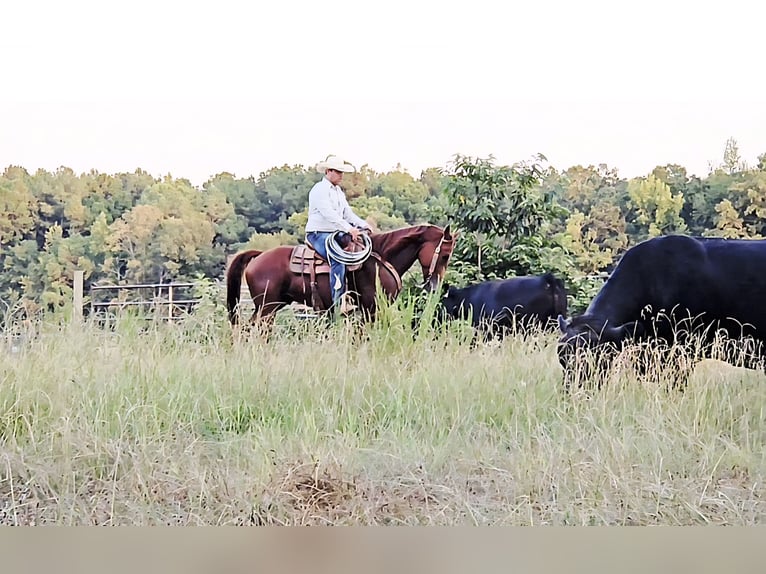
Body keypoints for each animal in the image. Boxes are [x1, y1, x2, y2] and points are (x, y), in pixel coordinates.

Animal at [226, 224, 456, 327]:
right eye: (445, 254)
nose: (435, 286)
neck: (381, 257)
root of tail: (259, 255)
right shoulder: (372, 309)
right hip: (267, 308)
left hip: (270, 306)